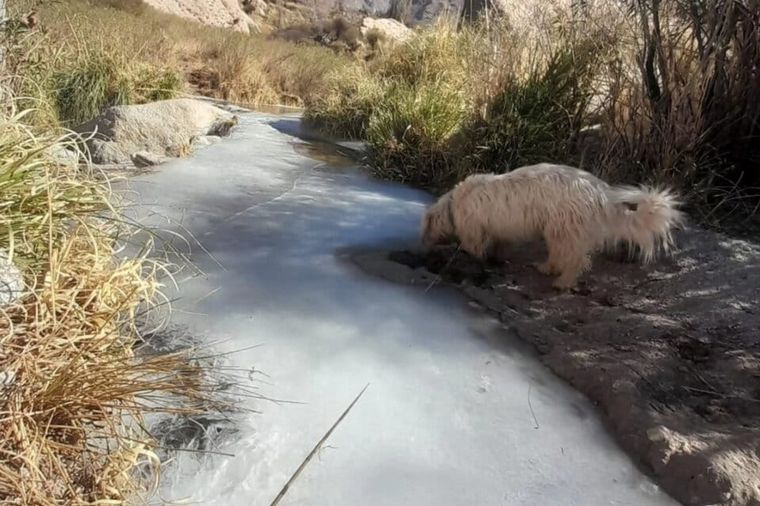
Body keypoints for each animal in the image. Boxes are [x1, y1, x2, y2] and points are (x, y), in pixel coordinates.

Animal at [418, 162, 684, 288]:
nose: (423, 247)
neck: (454, 203)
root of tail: (602, 193)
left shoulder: (473, 229)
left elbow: (475, 247)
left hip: (565, 226)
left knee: (576, 259)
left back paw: (562, 282)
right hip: (558, 228)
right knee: (560, 253)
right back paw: (548, 268)